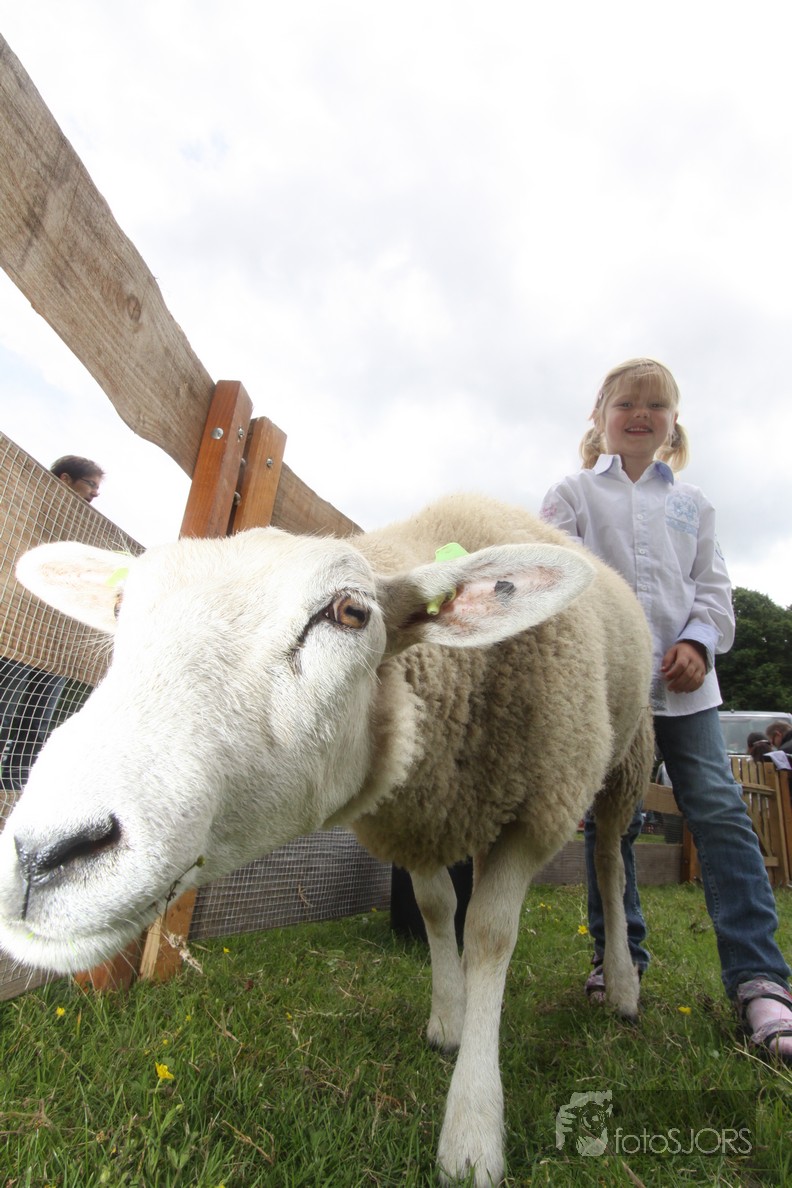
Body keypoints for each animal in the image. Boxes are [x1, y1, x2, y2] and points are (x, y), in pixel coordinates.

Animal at [0, 493, 653, 1186]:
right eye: (122, 608)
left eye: (350, 613)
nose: (41, 856)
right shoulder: (415, 818)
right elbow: (437, 909)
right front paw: (449, 1018)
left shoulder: (535, 814)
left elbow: (489, 937)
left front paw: (473, 1126)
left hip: (624, 761)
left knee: (610, 861)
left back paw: (622, 984)